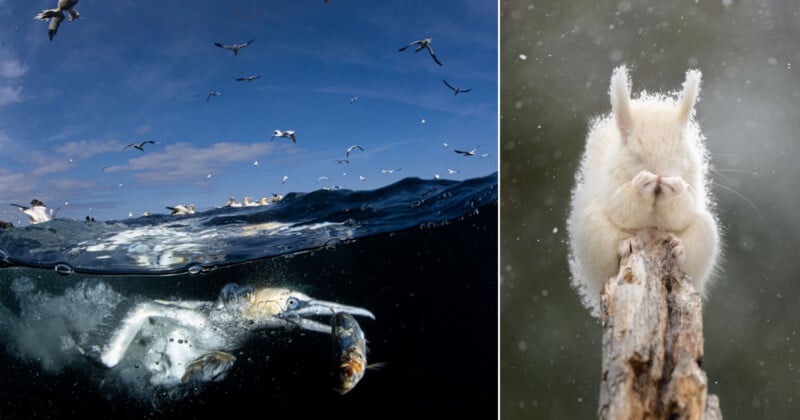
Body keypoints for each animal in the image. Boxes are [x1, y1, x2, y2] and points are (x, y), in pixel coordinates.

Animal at [566, 65, 721, 317]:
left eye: (680, 153)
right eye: (636, 155)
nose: (660, 175)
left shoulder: (692, 178)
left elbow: (682, 210)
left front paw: (675, 189)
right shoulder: (609, 179)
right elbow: (621, 206)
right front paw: (641, 185)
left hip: (706, 235)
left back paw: (678, 248)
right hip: (593, 233)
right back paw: (628, 244)